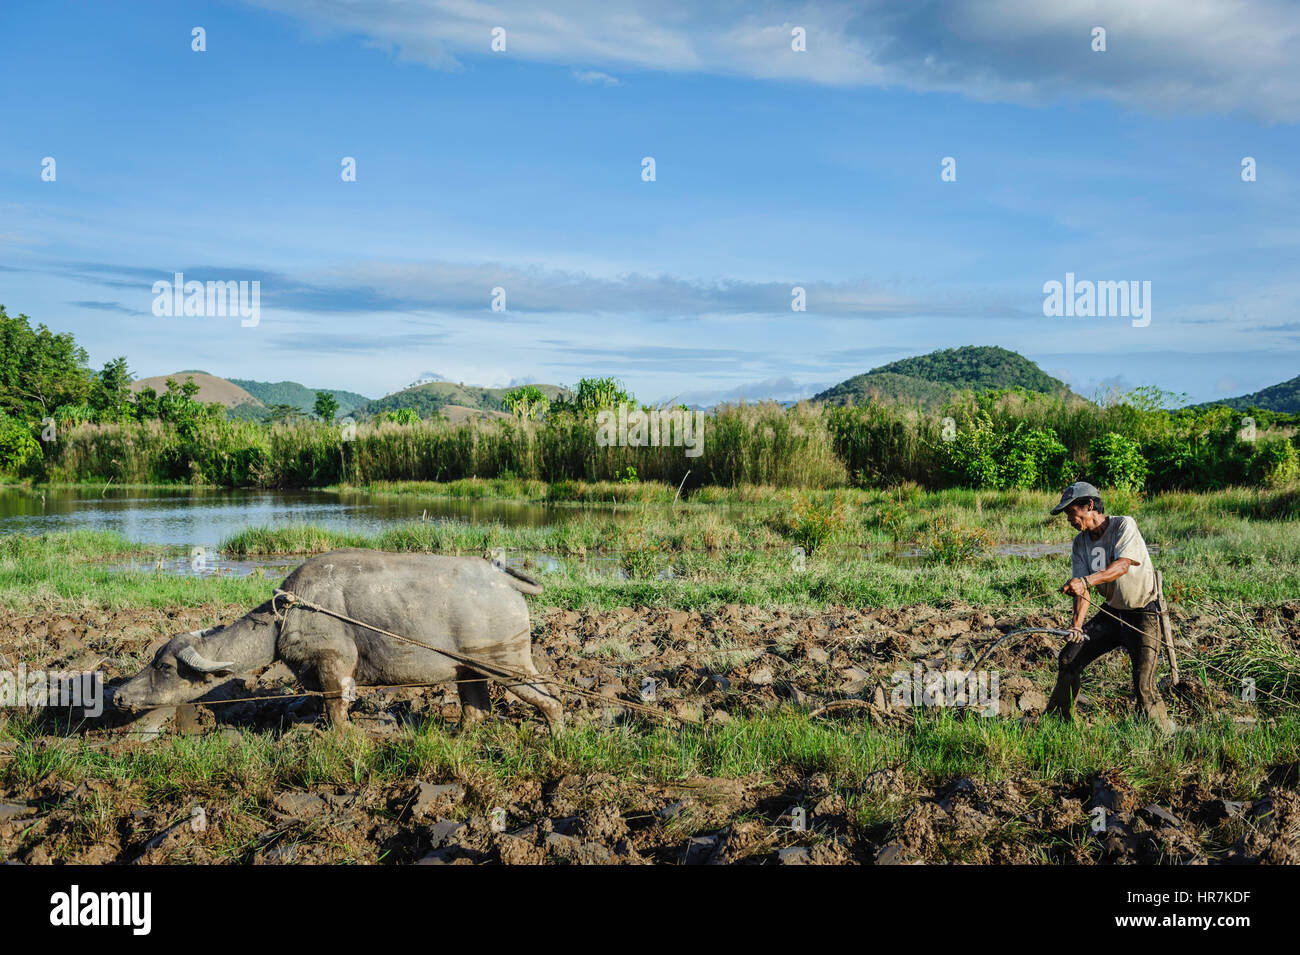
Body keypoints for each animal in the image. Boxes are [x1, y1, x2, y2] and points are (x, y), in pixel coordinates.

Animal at [111, 548, 559, 727]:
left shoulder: (335, 666)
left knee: (552, 698)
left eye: (163, 666)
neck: (286, 616)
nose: (118, 696)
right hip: (470, 669)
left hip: (508, 662)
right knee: (475, 710)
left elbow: (336, 711)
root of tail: (505, 581)